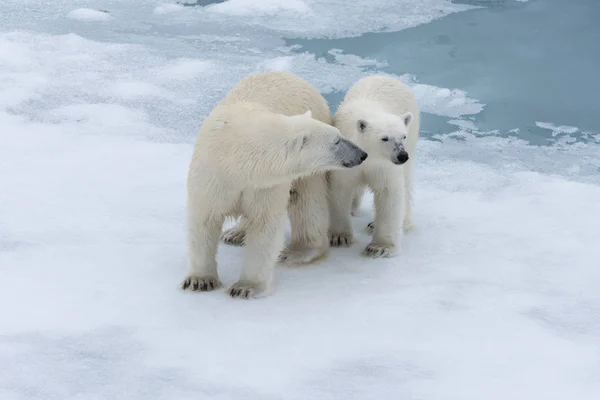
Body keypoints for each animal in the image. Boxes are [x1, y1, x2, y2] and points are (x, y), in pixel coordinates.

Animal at [328, 74, 418, 256]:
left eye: (402, 136)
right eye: (384, 138)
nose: (402, 156)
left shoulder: (384, 166)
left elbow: (388, 192)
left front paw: (381, 247)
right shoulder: (347, 159)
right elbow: (341, 188)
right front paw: (340, 237)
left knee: (406, 182)